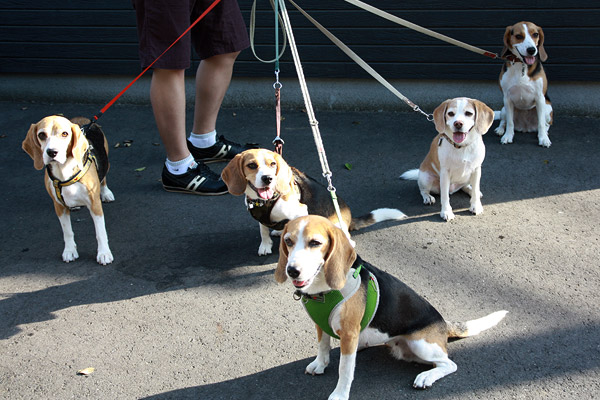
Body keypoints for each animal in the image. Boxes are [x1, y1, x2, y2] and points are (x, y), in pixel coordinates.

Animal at [22, 116, 115, 266]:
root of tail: (84, 120)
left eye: (64, 134)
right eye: (41, 135)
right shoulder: (59, 206)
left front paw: (104, 253)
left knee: (104, 177)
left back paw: (106, 192)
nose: (52, 152)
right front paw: (70, 250)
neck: (64, 171)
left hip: (105, 161)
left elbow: (100, 232)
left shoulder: (95, 205)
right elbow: (67, 232)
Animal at [223, 148, 406, 255]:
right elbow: (263, 230)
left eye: (273, 164)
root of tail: (348, 219)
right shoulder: (260, 217)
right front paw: (265, 245)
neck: (264, 201)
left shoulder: (300, 211)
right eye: (252, 165)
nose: (268, 178)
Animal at [276, 217, 506, 398]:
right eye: (288, 241)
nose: (292, 270)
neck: (323, 290)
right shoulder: (320, 324)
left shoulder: (349, 334)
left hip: (421, 344)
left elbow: (345, 369)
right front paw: (321, 364)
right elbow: (322, 345)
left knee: (449, 364)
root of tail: (443, 323)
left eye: (315, 243)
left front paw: (339, 395)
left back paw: (426, 377)